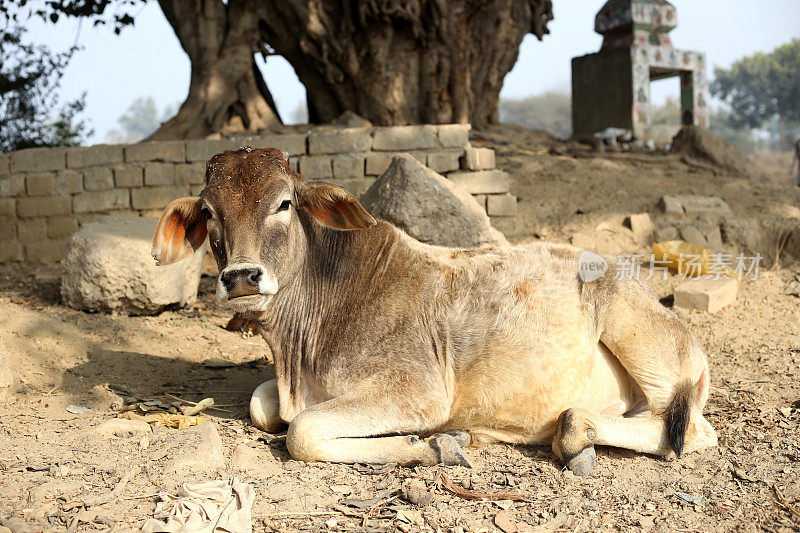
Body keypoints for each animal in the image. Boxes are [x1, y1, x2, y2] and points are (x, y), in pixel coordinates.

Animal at [153, 147, 716, 474]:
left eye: (284, 204)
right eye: (209, 212)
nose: (241, 278)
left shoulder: (418, 392)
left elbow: (303, 432)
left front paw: (435, 446)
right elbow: (262, 405)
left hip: (640, 337)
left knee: (689, 431)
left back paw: (574, 437)